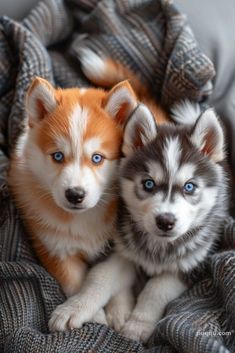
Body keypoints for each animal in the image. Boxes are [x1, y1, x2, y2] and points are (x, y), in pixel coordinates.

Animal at [49, 101, 228, 340]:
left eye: (189, 187)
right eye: (148, 184)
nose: (165, 221)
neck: (158, 247)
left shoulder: (189, 266)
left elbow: (156, 289)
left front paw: (137, 326)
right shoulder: (123, 252)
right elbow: (99, 278)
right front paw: (74, 308)